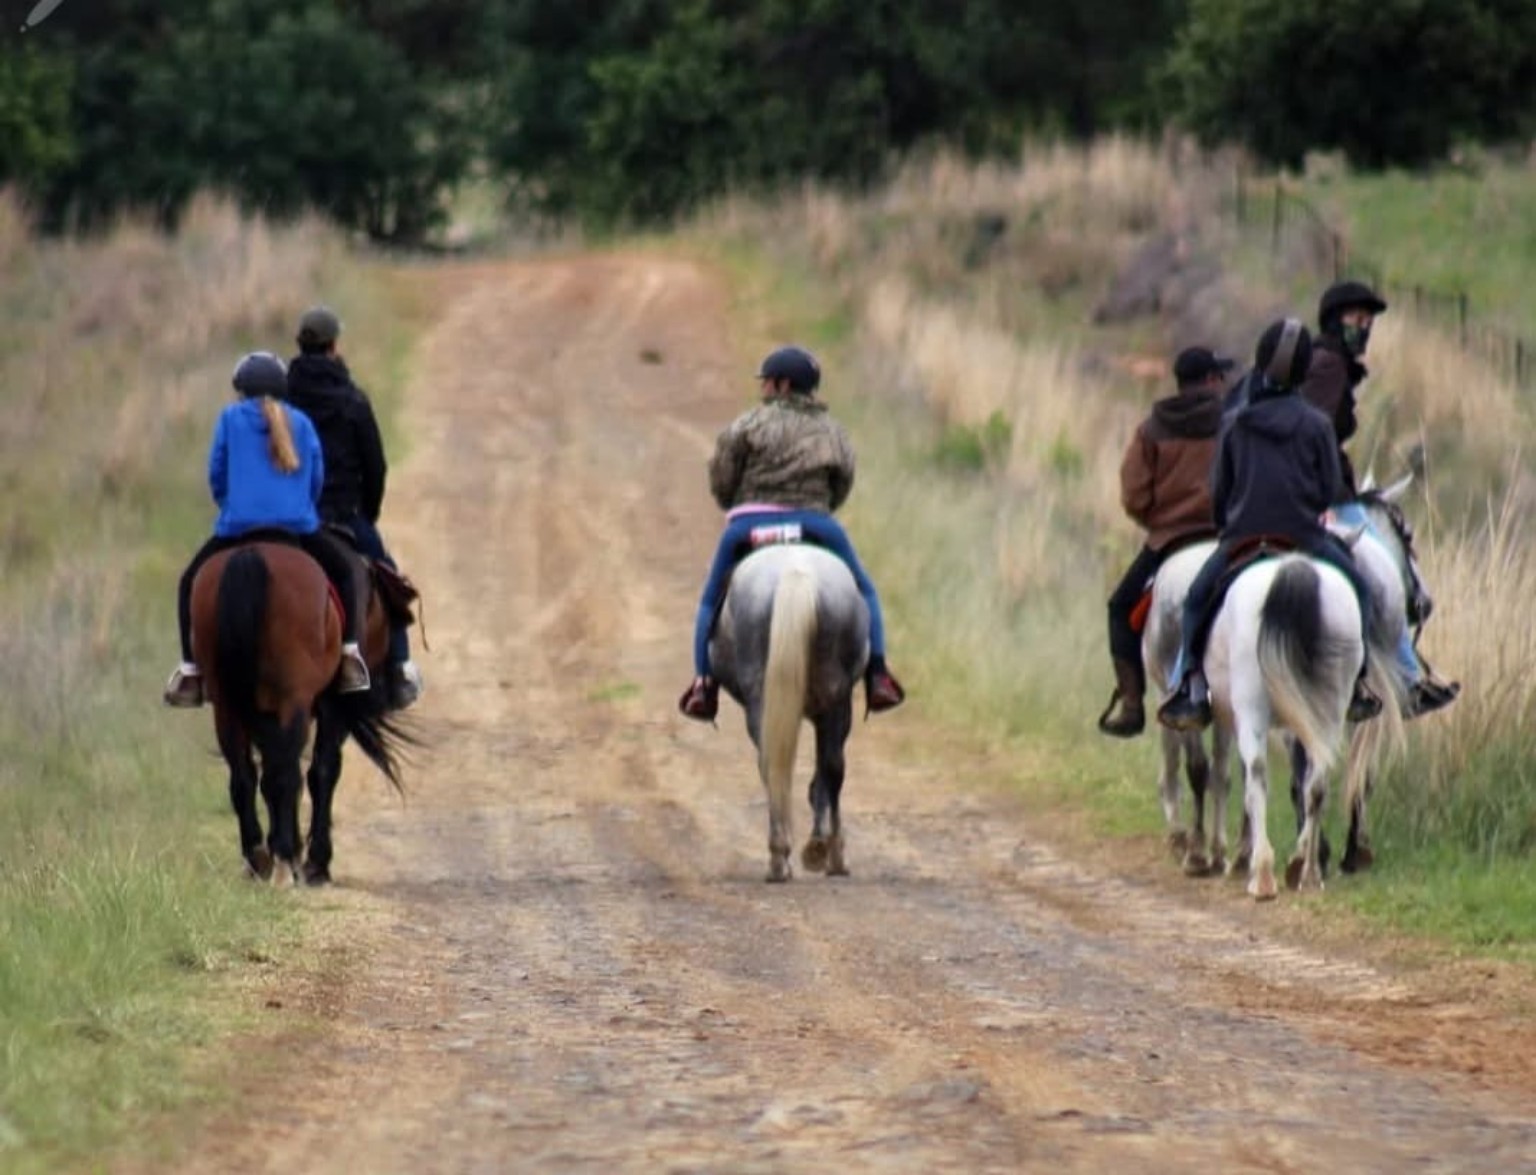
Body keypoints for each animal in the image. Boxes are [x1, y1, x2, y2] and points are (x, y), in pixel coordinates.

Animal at [190, 540, 407, 884]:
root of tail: (251, 555)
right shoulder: (333, 706)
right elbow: (323, 770)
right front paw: (317, 861)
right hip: (293, 700)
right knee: (286, 775)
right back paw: (284, 860)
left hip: (228, 705)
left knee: (245, 775)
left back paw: (260, 857)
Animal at [709, 542, 869, 883]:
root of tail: (795, 573)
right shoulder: (840, 707)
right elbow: (828, 771)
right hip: (835, 697)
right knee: (833, 766)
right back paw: (823, 852)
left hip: (762, 697)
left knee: (773, 764)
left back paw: (780, 858)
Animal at [1142, 539, 1234, 876]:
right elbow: (1215, 771)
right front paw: (1212, 850)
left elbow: (1189, 765)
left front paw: (1188, 842)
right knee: (1214, 770)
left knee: (1199, 767)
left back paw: (1193, 847)